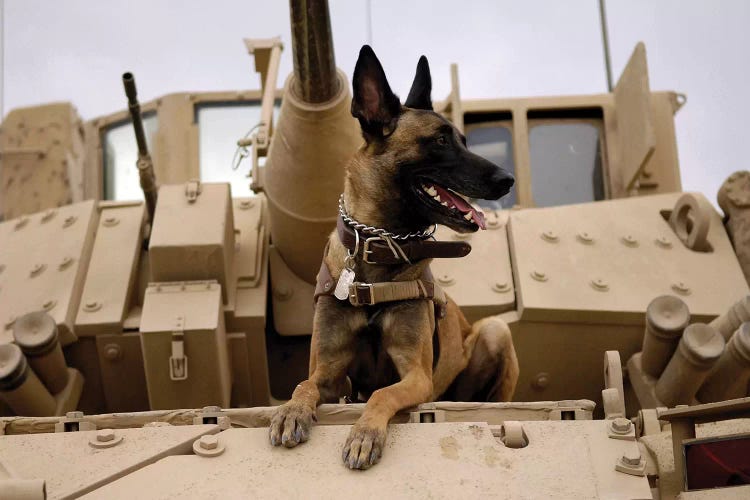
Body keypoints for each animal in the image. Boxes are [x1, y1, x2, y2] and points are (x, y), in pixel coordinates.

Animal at [272, 46, 524, 468]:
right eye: (440, 141)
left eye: (463, 140)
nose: (507, 179)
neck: (378, 251)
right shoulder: (330, 373)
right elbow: (304, 384)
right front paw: (291, 412)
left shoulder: (416, 376)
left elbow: (381, 393)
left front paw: (364, 434)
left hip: (494, 332)